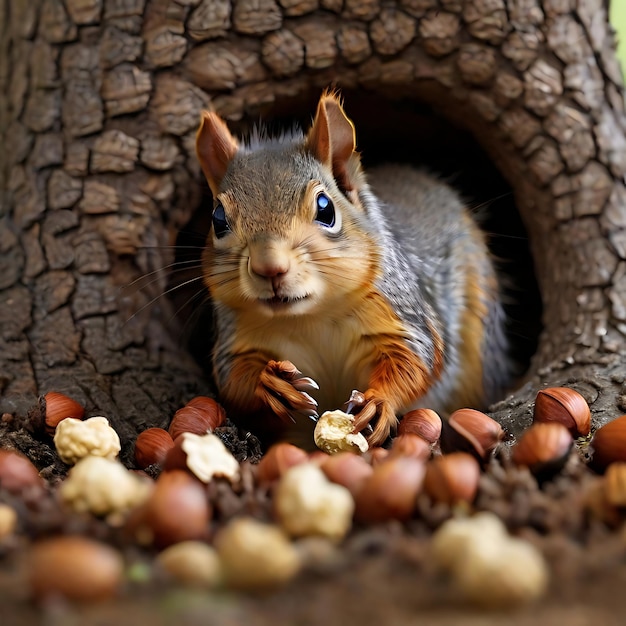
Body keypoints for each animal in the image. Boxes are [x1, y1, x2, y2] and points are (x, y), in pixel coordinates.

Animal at [195, 90, 512, 446]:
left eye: (325, 209)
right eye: (218, 219)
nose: (269, 268)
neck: (309, 318)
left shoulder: (400, 310)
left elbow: (415, 359)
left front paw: (377, 402)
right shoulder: (235, 338)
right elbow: (233, 380)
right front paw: (270, 382)